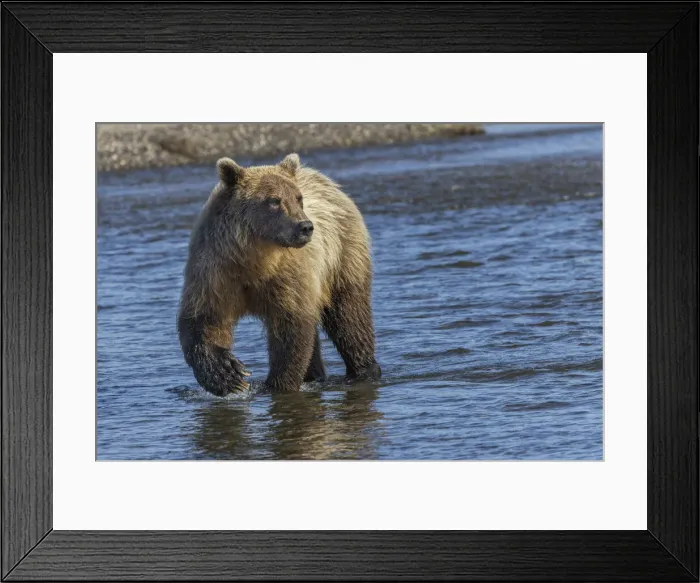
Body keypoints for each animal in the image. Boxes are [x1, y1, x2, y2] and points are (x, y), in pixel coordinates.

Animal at [177, 153, 381, 395]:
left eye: (298, 198)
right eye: (274, 200)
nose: (305, 226)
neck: (254, 260)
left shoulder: (287, 277)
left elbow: (291, 329)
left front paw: (277, 385)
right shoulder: (216, 270)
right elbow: (205, 320)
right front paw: (228, 374)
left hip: (341, 255)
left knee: (348, 315)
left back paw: (363, 370)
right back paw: (316, 375)